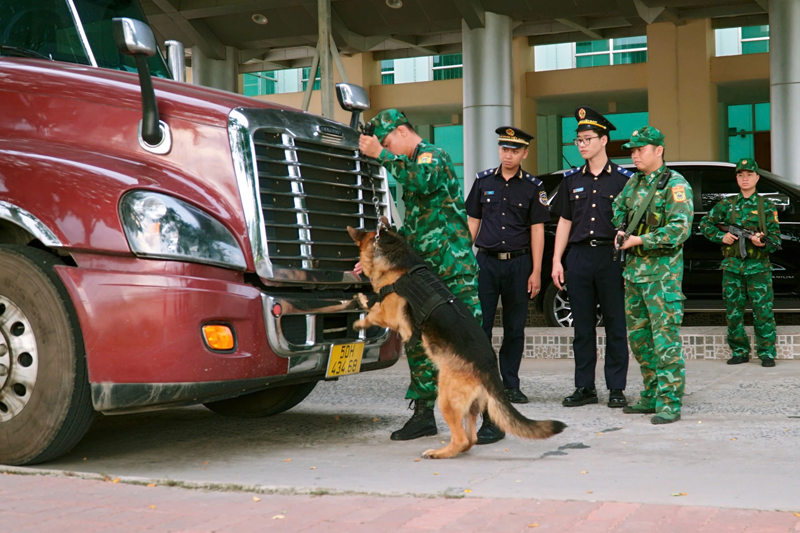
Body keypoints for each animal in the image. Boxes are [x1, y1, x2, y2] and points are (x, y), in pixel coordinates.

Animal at [346, 220, 564, 458]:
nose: (355, 267)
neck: (393, 250)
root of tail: (488, 366)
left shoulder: (389, 314)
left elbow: (374, 311)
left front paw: (360, 318)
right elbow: (371, 304)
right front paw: (359, 299)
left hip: (446, 399)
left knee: (461, 439)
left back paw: (438, 453)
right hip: (470, 405)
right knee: (471, 438)